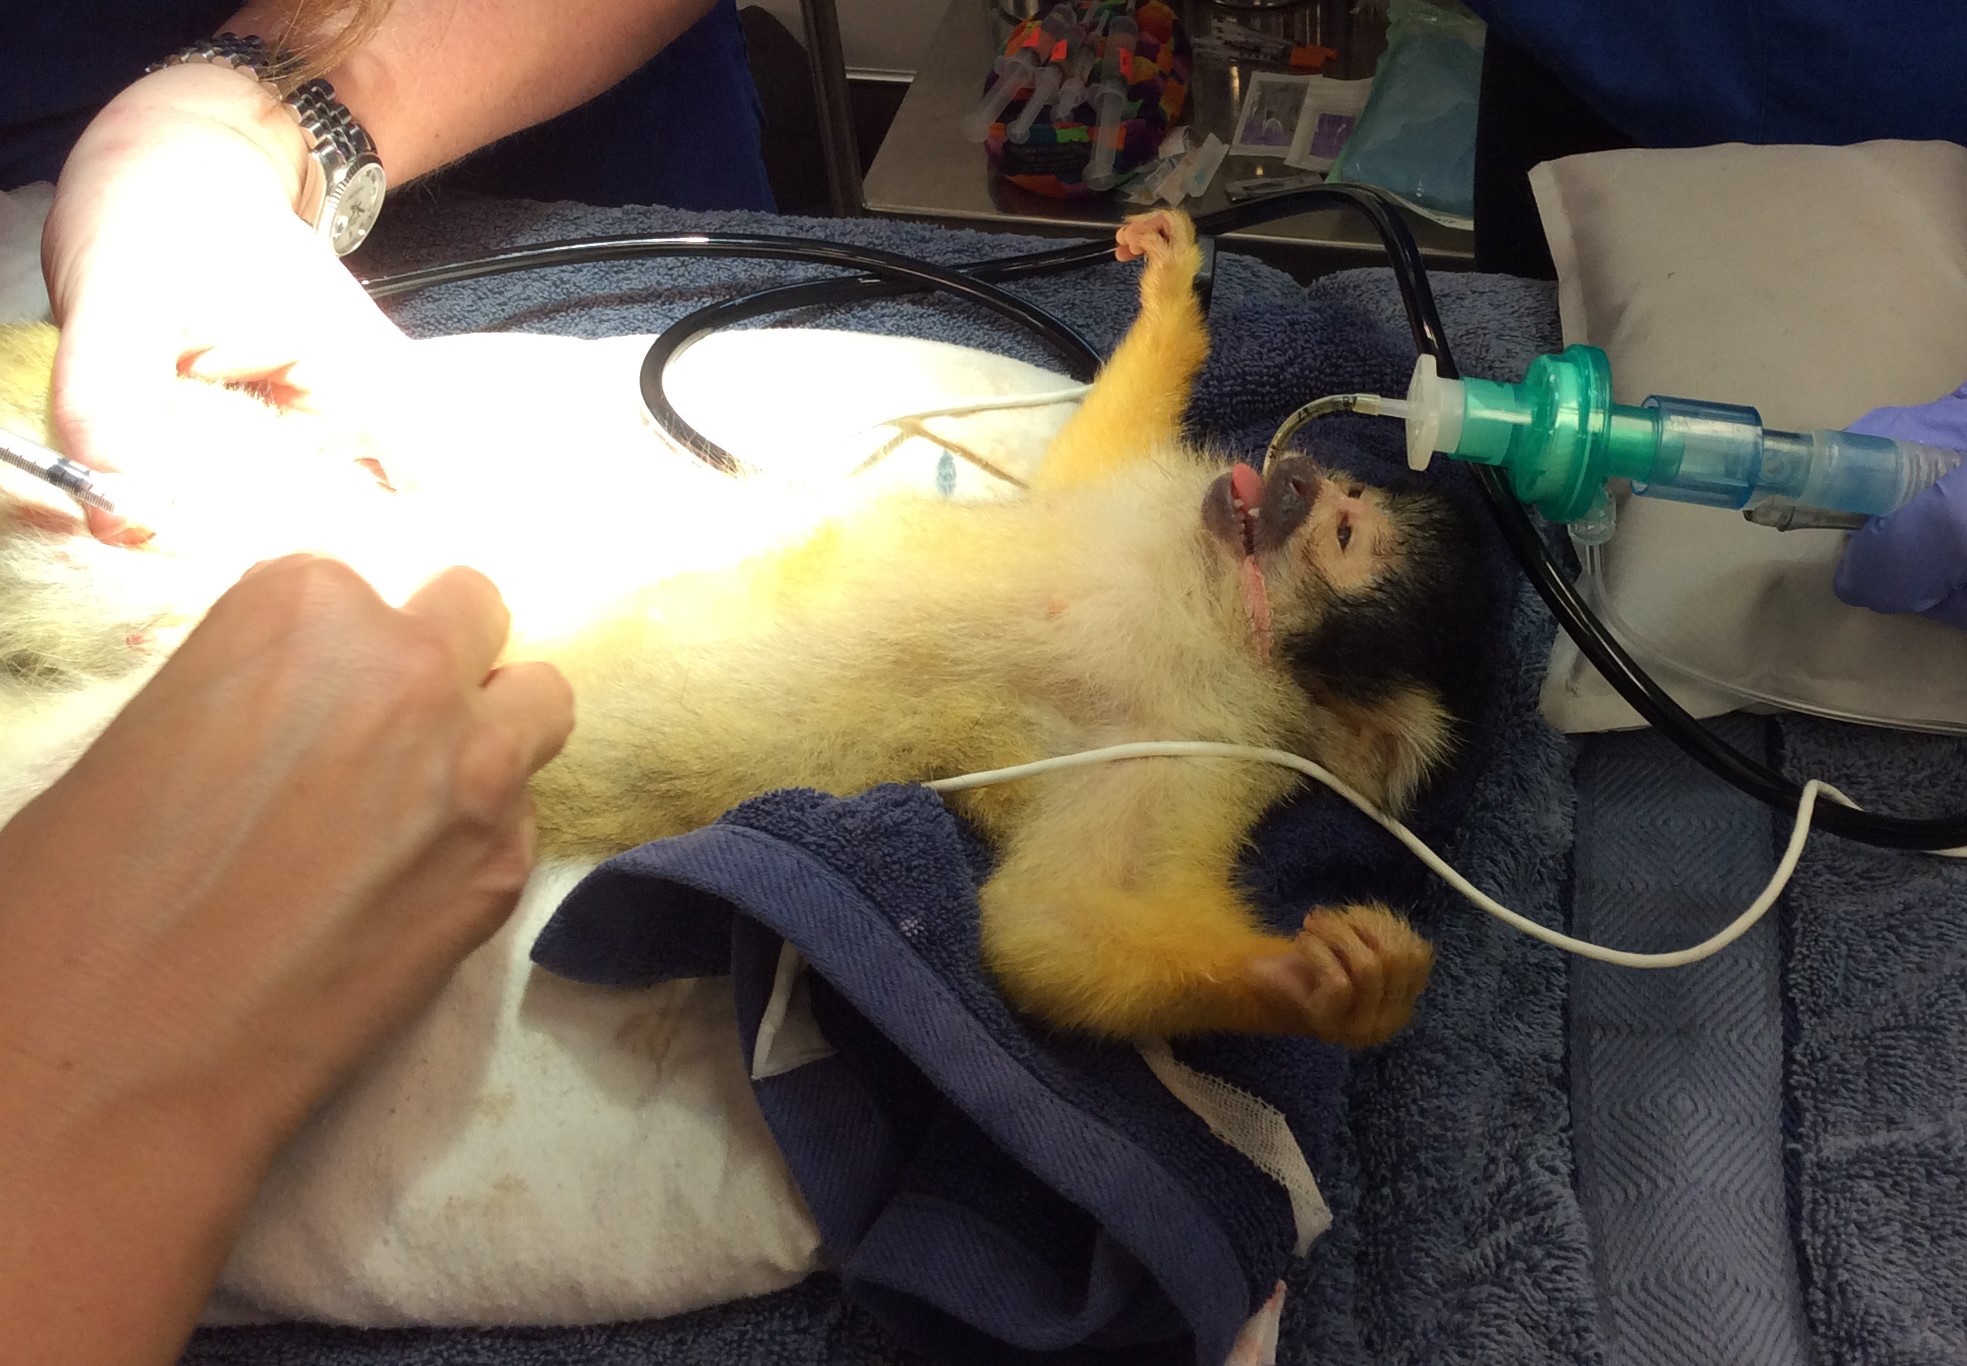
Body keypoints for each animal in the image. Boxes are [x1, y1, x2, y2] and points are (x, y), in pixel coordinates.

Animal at [0, 209, 1493, 1047]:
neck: (1191, 604)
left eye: (1343, 536)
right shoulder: (1128, 519)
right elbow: (1088, 450)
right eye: (1331, 497)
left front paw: (1324, 989)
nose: (1275, 480)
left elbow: (1042, 930)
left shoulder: (1192, 746)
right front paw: (1175, 286)